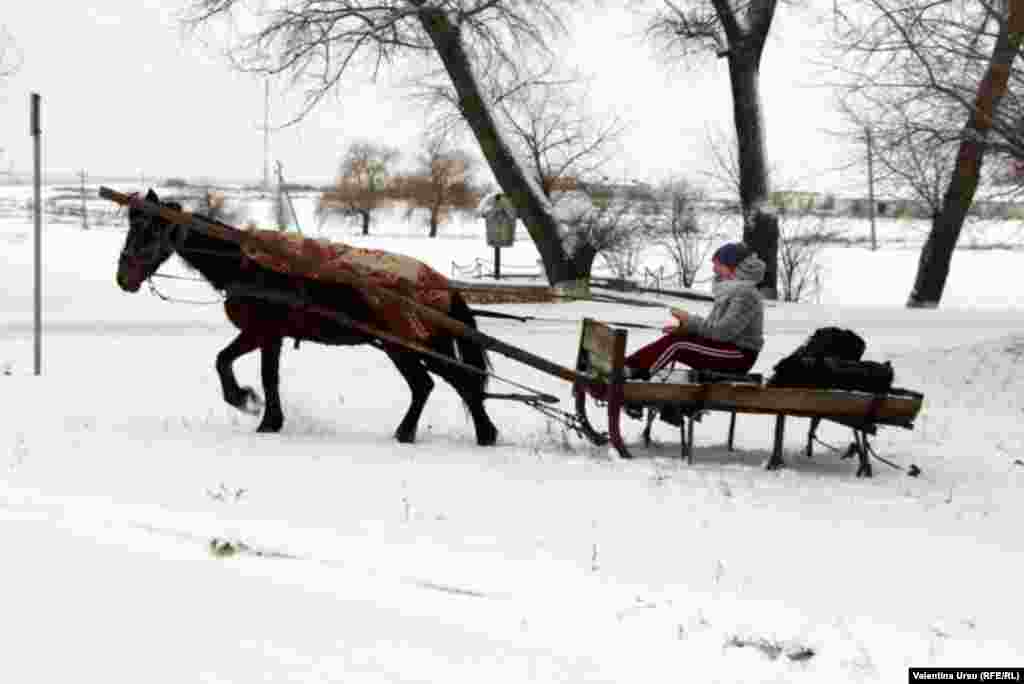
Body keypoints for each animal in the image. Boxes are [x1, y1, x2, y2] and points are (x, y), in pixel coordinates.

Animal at [116, 187, 499, 446]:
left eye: (150, 231)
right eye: (132, 229)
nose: (123, 279)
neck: (247, 262)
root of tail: (440, 283)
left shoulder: (261, 332)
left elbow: (241, 368)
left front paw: (249, 404)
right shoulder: (269, 336)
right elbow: (249, 370)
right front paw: (265, 416)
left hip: (408, 346)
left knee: (448, 383)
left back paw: (477, 433)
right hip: (418, 346)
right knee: (441, 385)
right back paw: (430, 433)